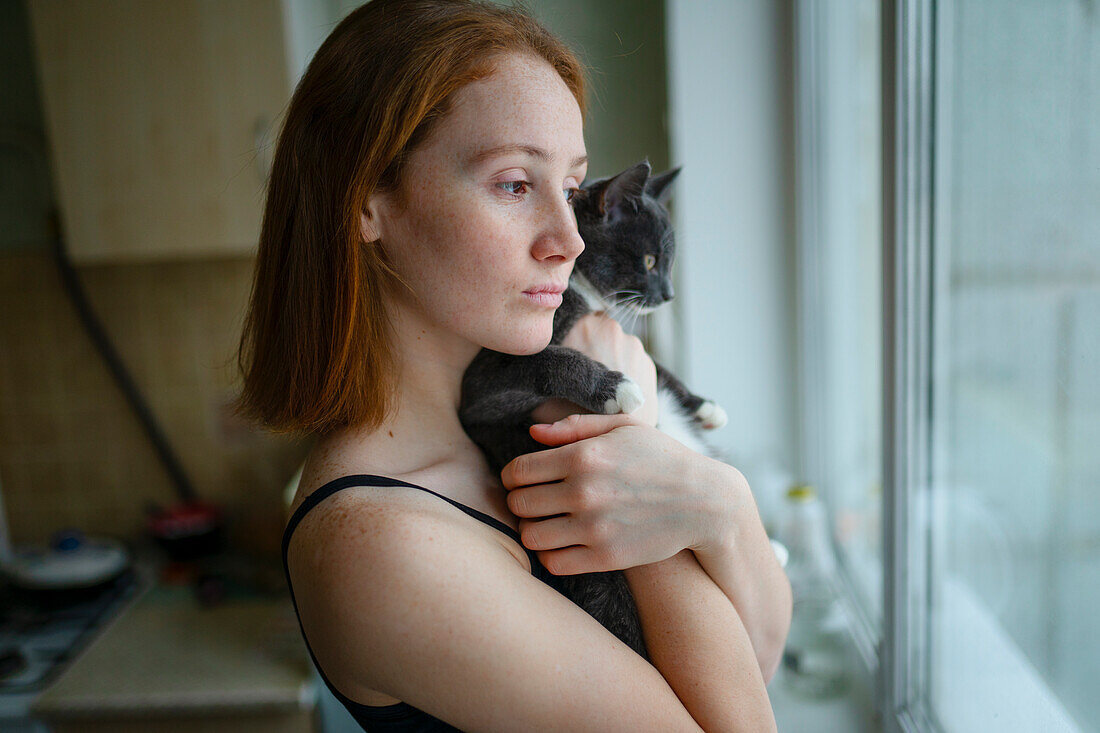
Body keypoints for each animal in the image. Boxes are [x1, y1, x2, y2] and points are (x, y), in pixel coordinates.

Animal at [457, 158, 726, 655]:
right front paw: (615, 388)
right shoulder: (479, 386)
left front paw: (702, 405)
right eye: (649, 261)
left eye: (669, 263)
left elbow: (657, 363)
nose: (669, 294)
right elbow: (544, 358)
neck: (574, 286)